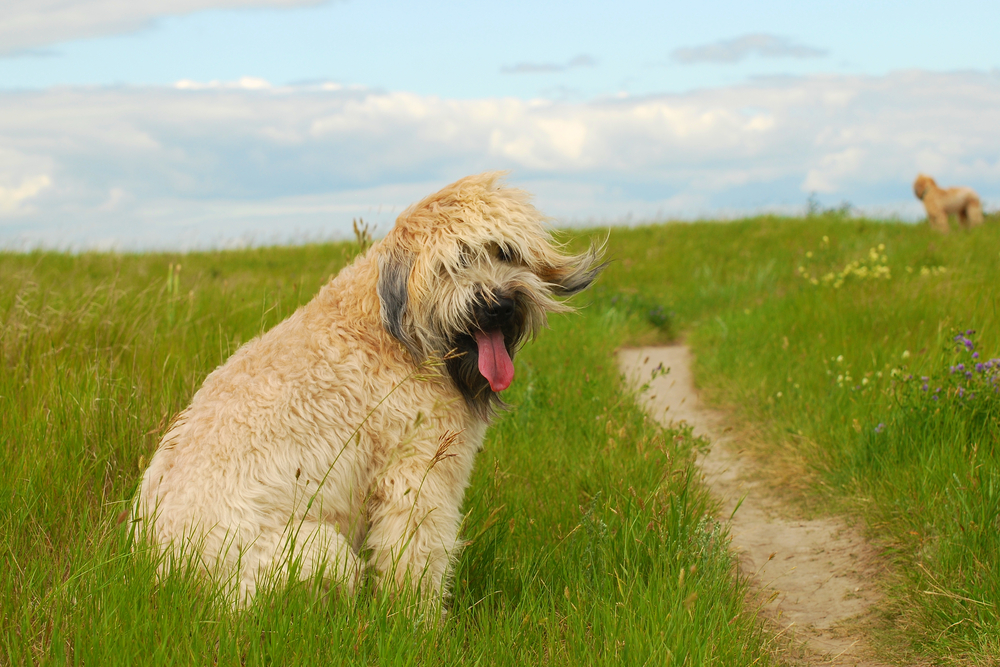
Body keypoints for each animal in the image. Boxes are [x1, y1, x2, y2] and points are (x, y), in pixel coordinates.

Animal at [130, 172, 604, 612]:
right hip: (316, 550)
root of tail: (164, 583)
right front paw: (420, 622)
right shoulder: (417, 473)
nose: (498, 306)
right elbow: (415, 555)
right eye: (454, 263)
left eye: (505, 252)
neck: (393, 332)